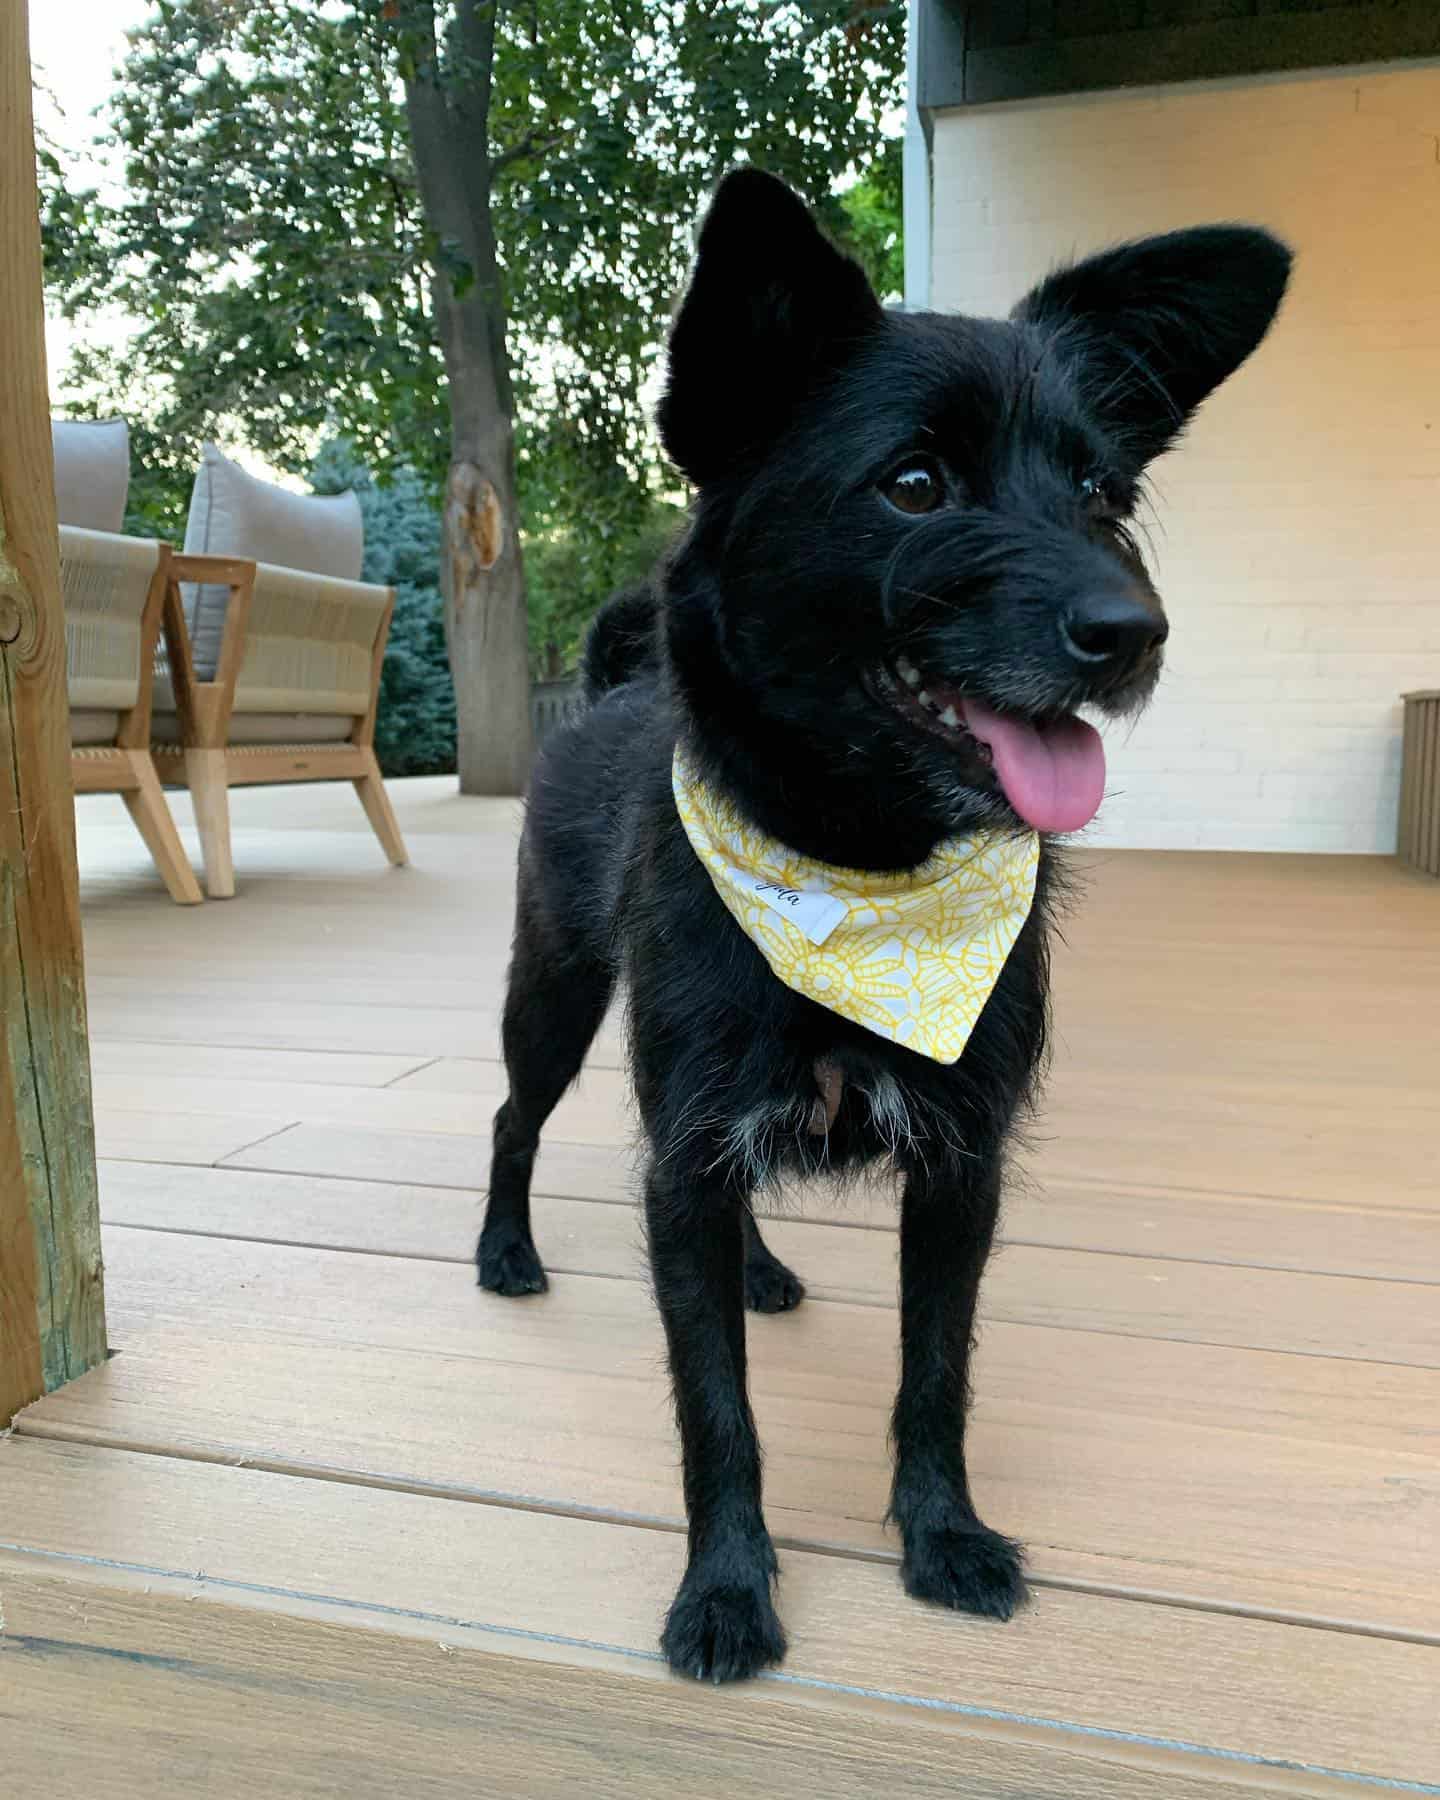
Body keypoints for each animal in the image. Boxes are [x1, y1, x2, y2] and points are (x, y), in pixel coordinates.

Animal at [478, 169, 1288, 1684]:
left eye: (1103, 493)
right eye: (915, 484)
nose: (1135, 631)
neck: (858, 867)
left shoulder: (959, 1168)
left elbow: (937, 1374)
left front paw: (941, 1536)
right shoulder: (686, 1153)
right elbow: (715, 1409)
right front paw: (727, 1589)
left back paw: (760, 1274)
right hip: (551, 990)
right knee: (514, 1118)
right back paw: (505, 1253)